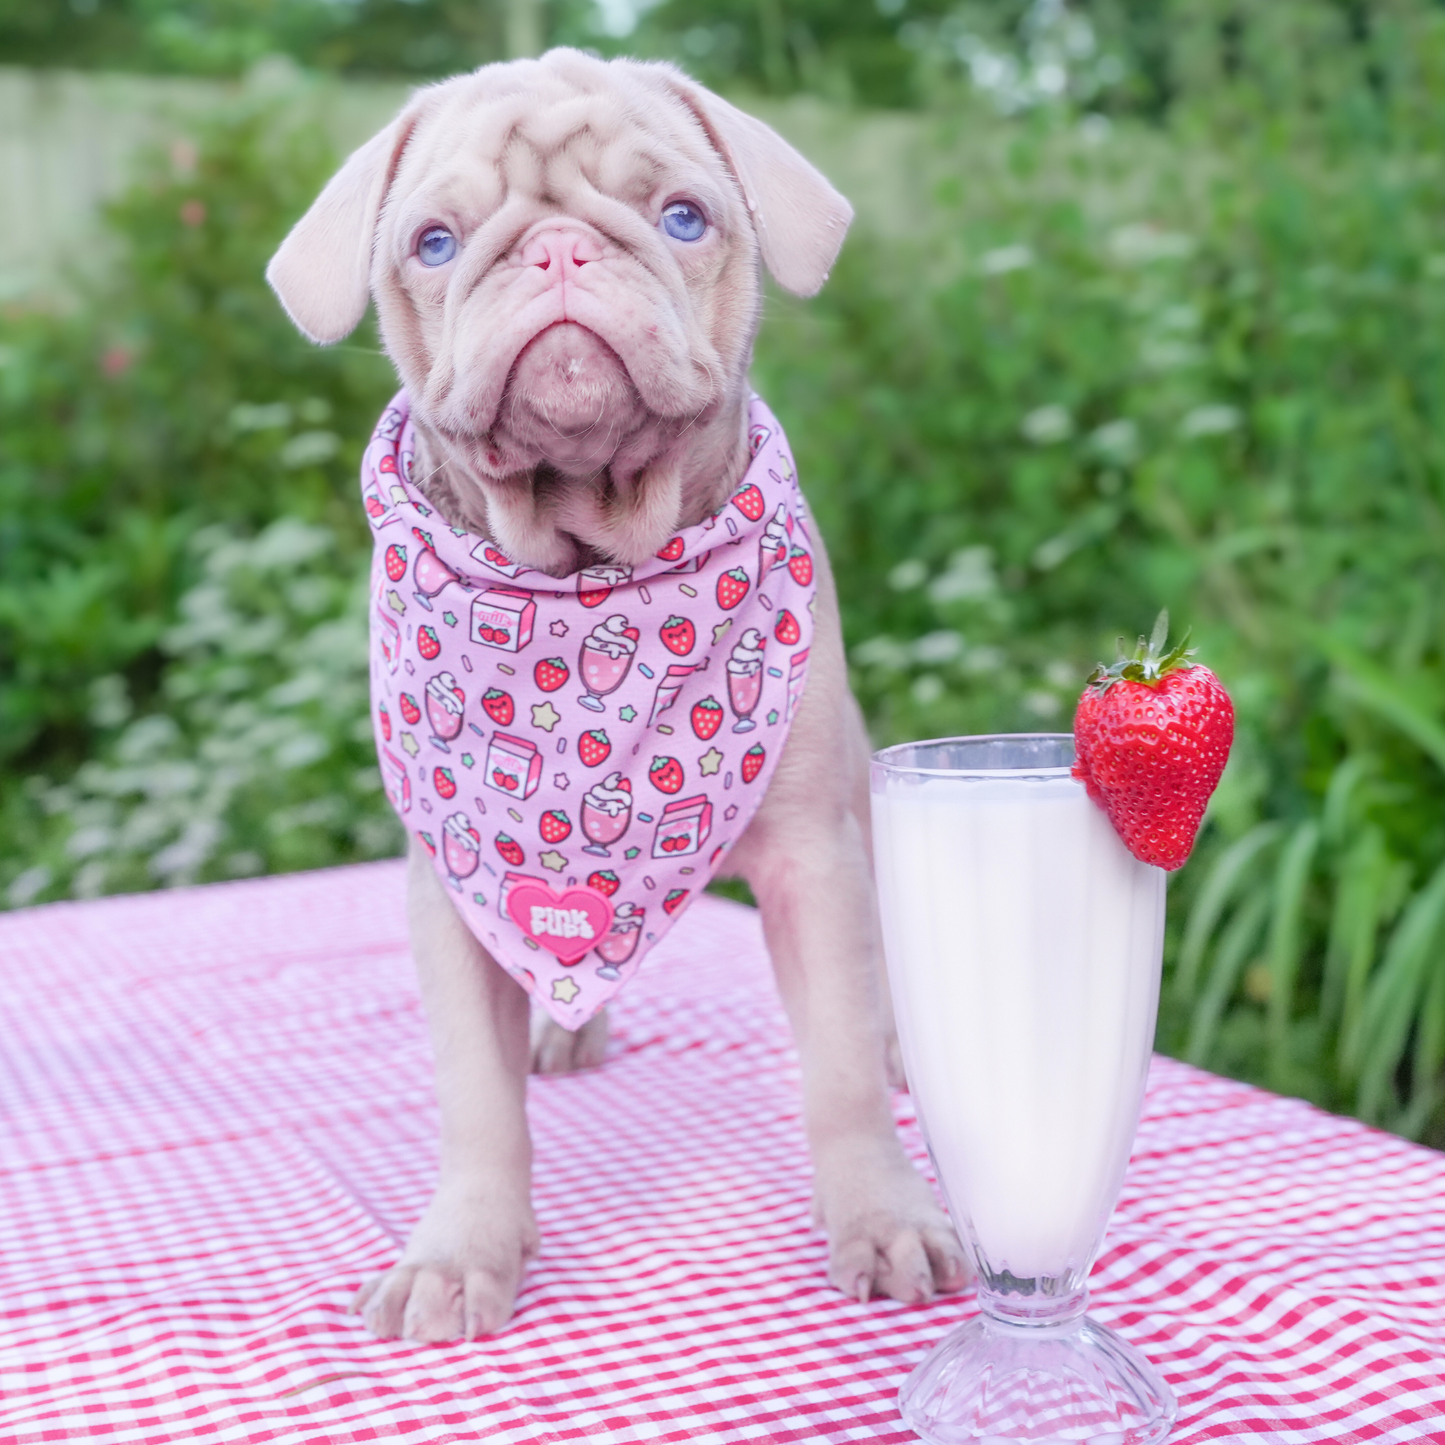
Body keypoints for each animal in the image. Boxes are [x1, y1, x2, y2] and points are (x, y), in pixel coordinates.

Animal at [271, 45, 971, 1340]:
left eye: (683, 219)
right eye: (433, 243)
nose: (555, 248)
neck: (581, 577)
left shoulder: (813, 858)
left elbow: (840, 1065)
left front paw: (883, 1214)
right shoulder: (453, 883)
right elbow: (475, 1100)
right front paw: (462, 1250)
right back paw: (563, 1024)